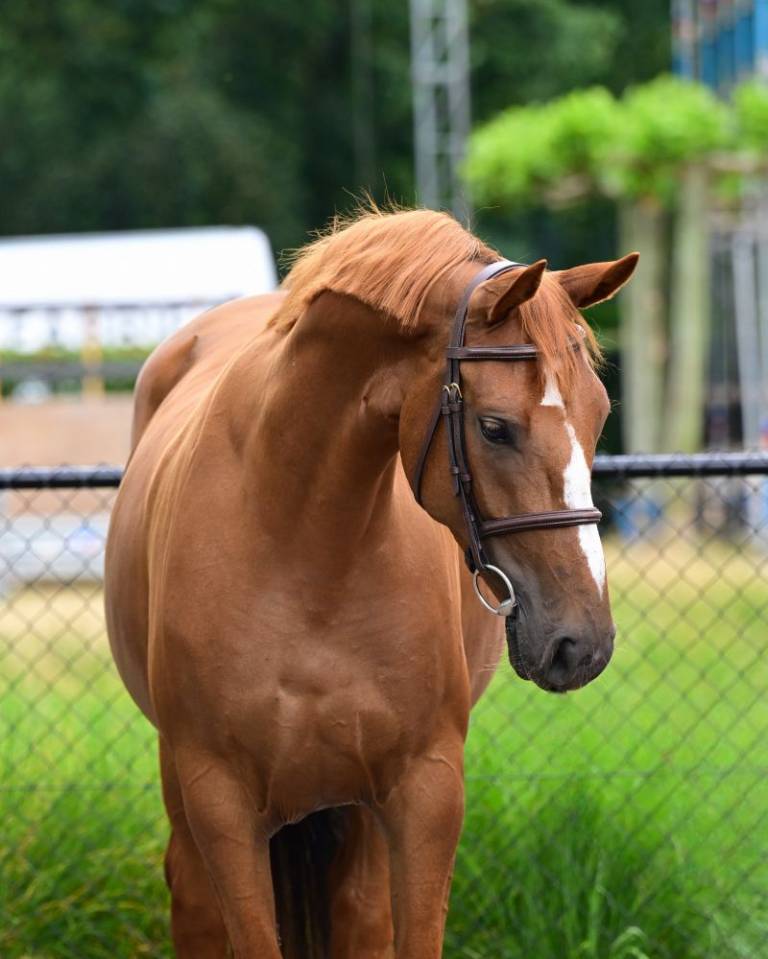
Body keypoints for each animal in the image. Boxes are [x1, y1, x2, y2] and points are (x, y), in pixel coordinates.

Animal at [104, 207, 638, 958]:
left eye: (599, 416)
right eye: (494, 428)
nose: (581, 642)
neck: (303, 545)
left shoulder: (426, 791)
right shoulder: (221, 802)